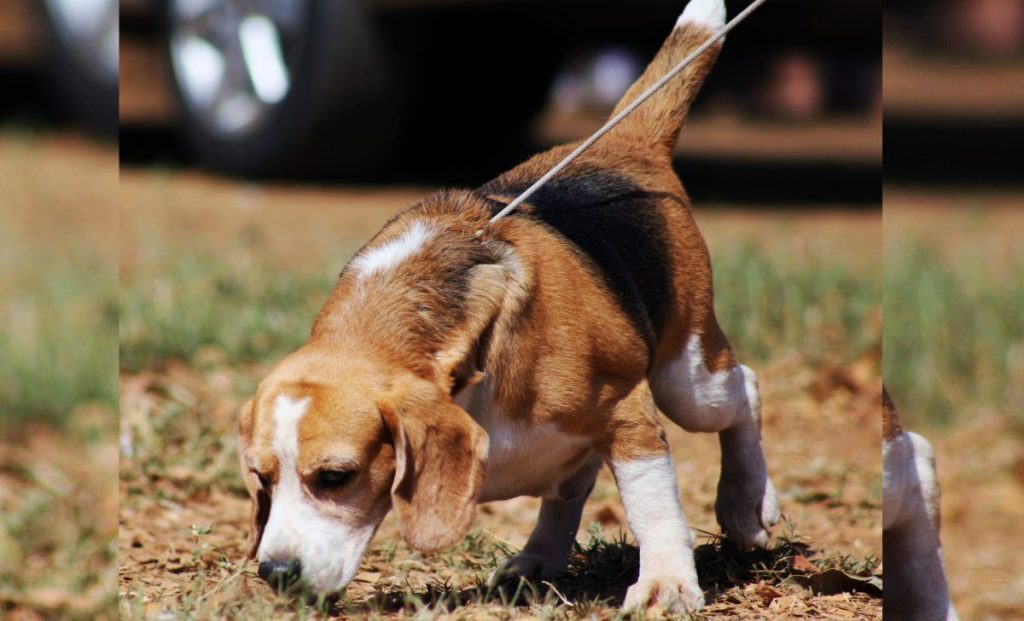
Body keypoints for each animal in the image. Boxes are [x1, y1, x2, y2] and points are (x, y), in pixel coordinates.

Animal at [237, 0, 774, 614]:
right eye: (262, 479)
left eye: (334, 476)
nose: (277, 572)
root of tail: (623, 145)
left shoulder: (628, 411)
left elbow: (651, 504)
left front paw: (666, 582)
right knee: (571, 486)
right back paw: (538, 557)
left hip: (687, 379)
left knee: (742, 388)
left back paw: (746, 503)